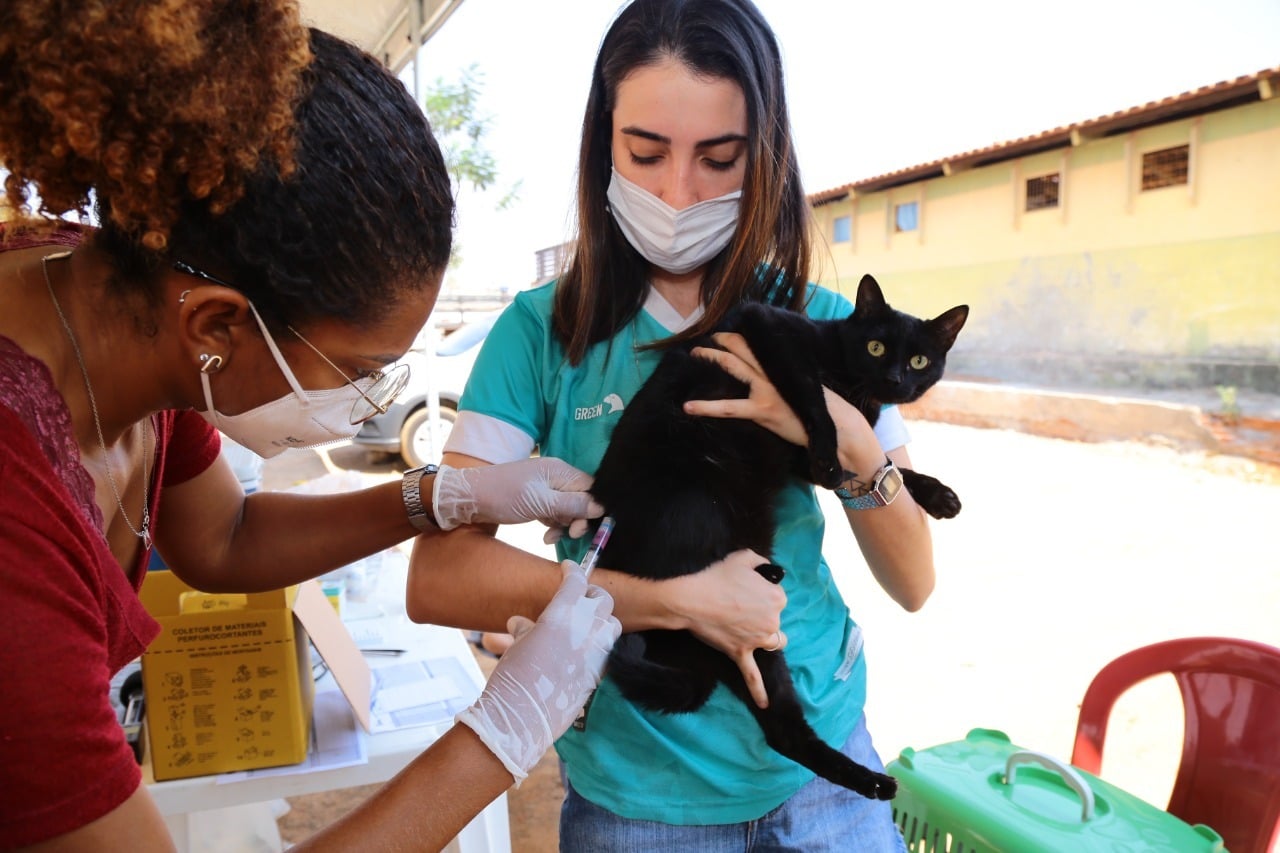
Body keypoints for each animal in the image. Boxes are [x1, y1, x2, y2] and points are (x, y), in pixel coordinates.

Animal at [586, 272, 962, 799]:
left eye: (919, 361)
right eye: (875, 346)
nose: (894, 380)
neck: (856, 389)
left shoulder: (804, 457)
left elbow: (891, 469)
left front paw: (938, 494)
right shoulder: (768, 328)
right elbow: (813, 398)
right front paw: (831, 451)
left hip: (756, 645)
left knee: (784, 730)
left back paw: (871, 782)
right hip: (697, 501)